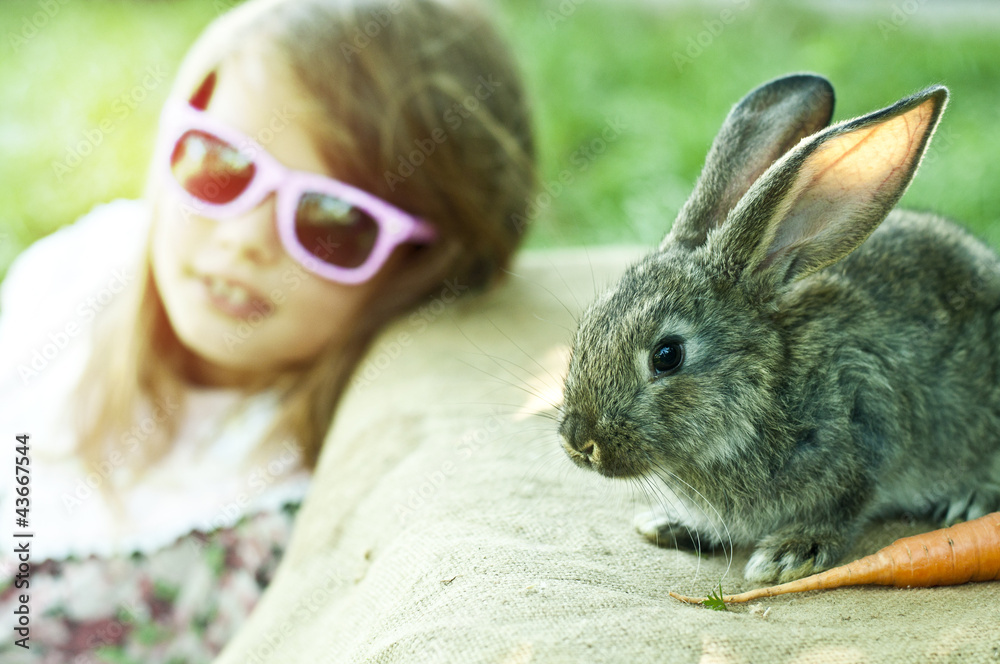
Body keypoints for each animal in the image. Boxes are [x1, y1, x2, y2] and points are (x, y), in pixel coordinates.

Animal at [558, 72, 1000, 584]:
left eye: (667, 355)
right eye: (588, 325)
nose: (578, 441)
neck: (766, 390)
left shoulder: (865, 421)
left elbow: (841, 506)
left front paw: (788, 554)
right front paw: (671, 524)